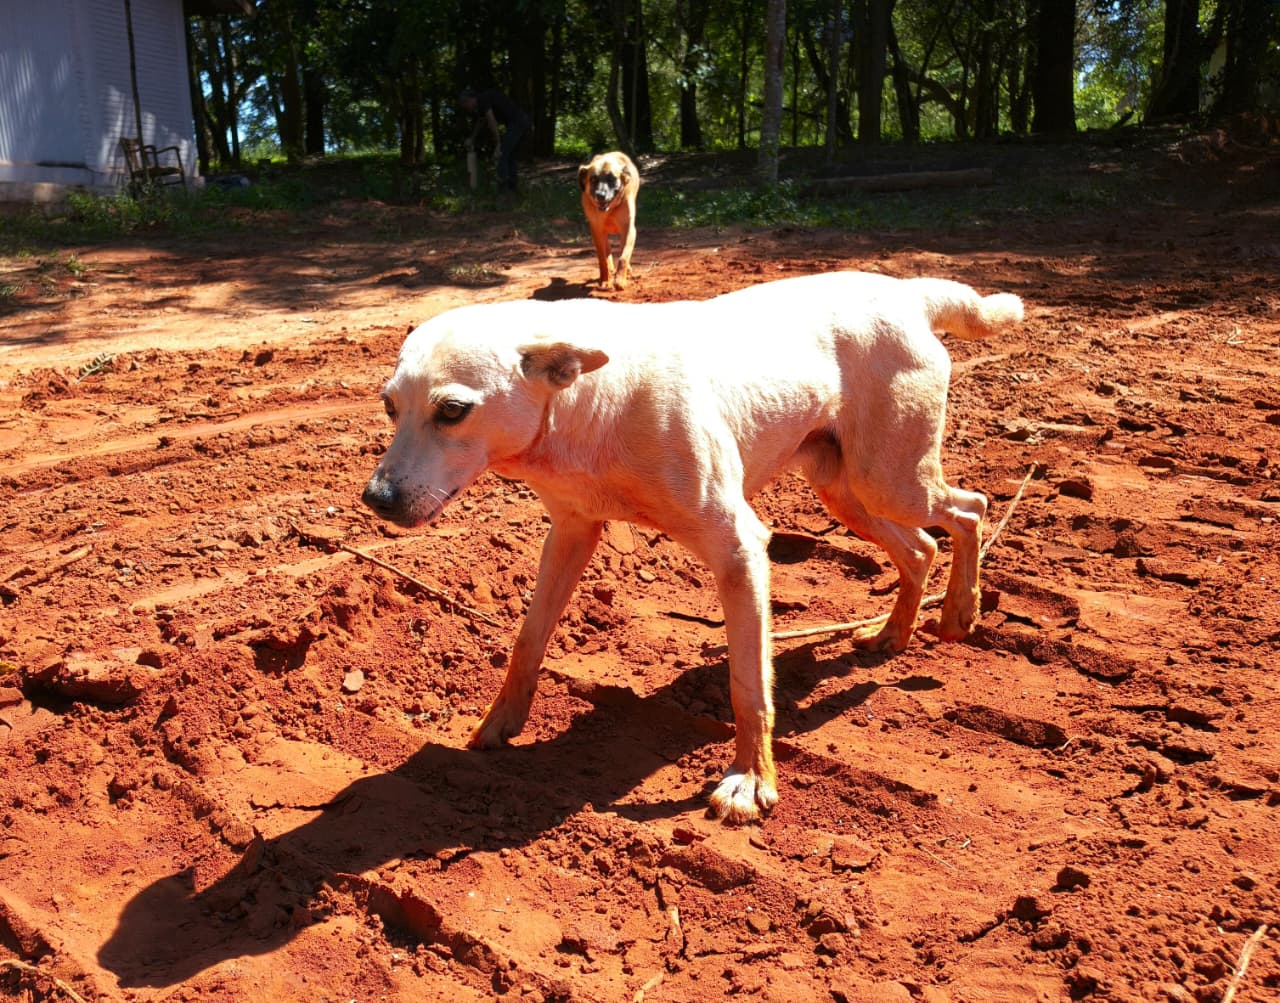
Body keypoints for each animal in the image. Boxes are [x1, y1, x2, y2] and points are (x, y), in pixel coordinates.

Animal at [362, 271, 1024, 823]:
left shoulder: (740, 547)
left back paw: (959, 613)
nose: (376, 498)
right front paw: (499, 723)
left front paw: (750, 782)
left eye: (452, 410)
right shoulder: (570, 532)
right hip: (847, 489)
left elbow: (748, 687)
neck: (589, 401)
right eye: (389, 406)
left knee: (971, 509)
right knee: (922, 548)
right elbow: (528, 643)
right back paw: (895, 633)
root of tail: (905, 290)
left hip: (891, 478)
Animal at [578, 151, 639, 290]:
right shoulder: (597, 231)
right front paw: (605, 280)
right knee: (607, 252)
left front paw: (620, 280)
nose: (600, 195)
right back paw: (611, 271)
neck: (609, 210)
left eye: (612, 179)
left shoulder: (629, 229)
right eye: (593, 179)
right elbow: (602, 259)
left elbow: (623, 257)